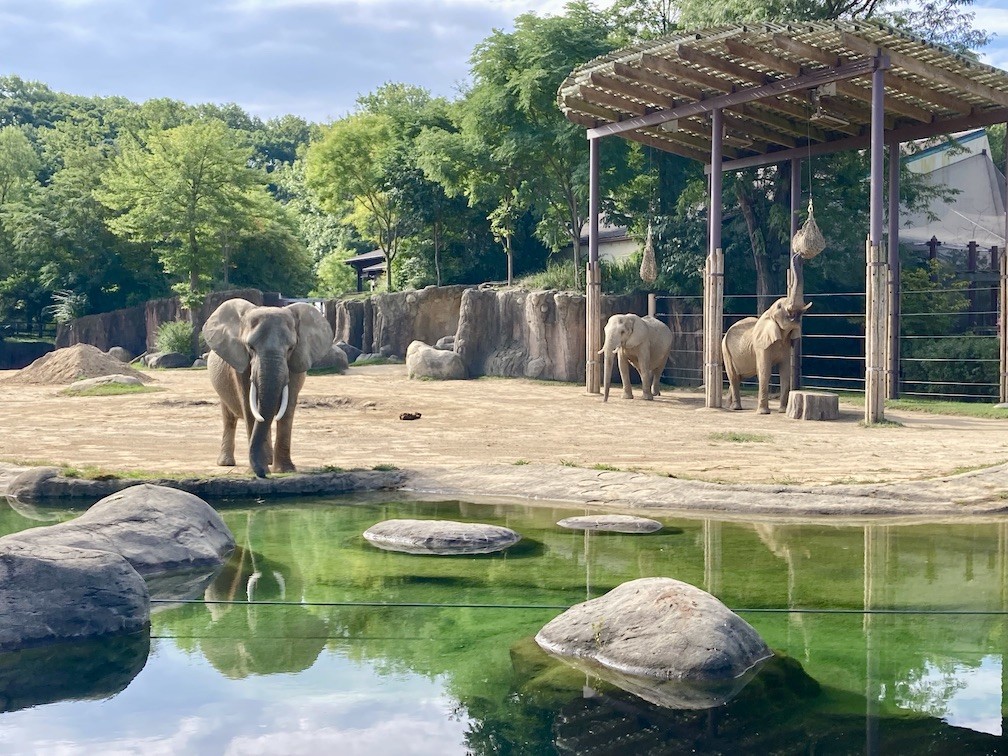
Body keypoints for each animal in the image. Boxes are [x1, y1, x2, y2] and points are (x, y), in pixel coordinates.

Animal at [202, 298, 332, 475]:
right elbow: (249, 407)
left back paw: (268, 460)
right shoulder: (240, 364)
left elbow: (287, 407)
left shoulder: (296, 362)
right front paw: (255, 470)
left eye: (291, 348)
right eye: (250, 347)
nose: (263, 474)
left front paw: (285, 471)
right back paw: (227, 463)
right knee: (229, 418)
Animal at [725, 255, 810, 415]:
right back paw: (736, 408)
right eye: (779, 306)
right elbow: (765, 371)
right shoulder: (760, 346)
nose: (797, 255)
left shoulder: (786, 345)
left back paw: (730, 406)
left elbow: (785, 372)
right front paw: (763, 412)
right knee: (733, 376)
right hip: (725, 350)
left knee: (738, 377)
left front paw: (782, 411)